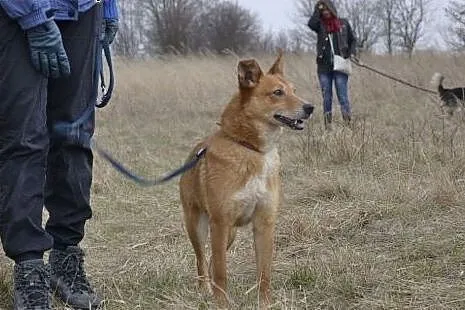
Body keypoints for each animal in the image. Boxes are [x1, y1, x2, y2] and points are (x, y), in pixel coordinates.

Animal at [179, 51, 314, 308]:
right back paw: (205, 290)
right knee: (202, 260)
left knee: (212, 259)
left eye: (293, 90)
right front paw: (221, 303)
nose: (310, 107)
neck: (251, 149)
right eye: (277, 92)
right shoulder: (220, 222)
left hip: (229, 234)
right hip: (199, 226)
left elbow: (264, 272)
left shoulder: (264, 223)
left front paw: (265, 303)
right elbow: (221, 272)